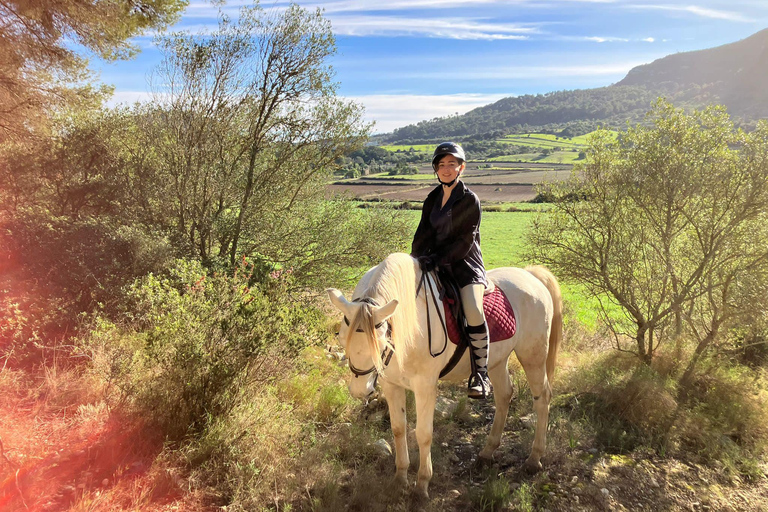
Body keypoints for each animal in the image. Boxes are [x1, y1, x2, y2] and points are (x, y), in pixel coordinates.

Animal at [326, 253, 564, 500]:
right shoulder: (391, 385)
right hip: (498, 361)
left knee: (542, 398)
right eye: (342, 338)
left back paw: (534, 458)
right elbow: (398, 429)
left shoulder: (425, 387)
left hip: (532, 357)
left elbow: (423, 434)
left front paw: (421, 486)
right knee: (504, 395)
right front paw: (400, 479)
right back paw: (487, 453)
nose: (359, 390)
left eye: (381, 343)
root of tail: (530, 275)